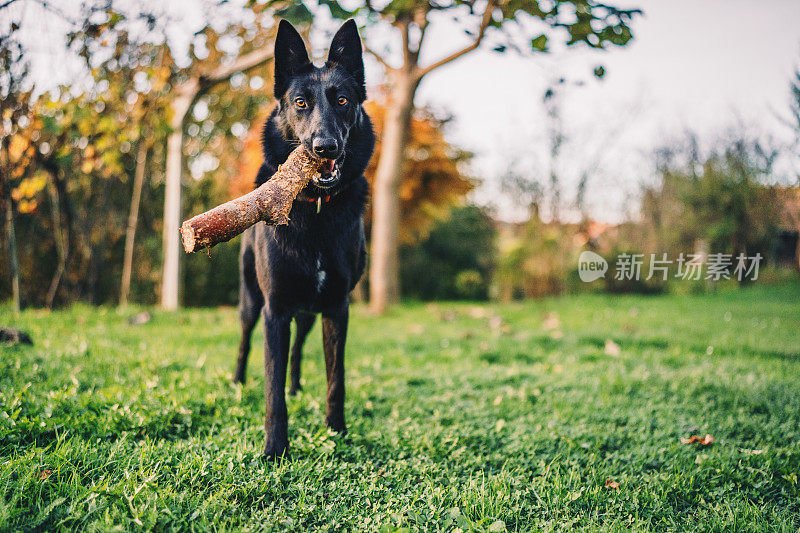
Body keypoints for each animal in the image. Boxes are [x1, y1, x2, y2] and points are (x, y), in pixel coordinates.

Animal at [234, 19, 376, 458]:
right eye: (300, 103)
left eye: (343, 100)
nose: (324, 146)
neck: (314, 209)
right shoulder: (275, 310)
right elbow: (272, 388)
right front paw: (274, 450)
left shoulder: (336, 308)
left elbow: (335, 378)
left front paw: (337, 432)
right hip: (251, 301)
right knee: (245, 341)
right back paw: (236, 384)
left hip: (310, 313)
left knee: (298, 349)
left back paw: (297, 386)